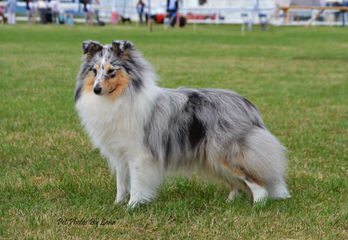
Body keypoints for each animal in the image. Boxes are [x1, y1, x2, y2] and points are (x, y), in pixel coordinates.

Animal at [75, 40, 290, 207]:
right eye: (94, 71)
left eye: (111, 71)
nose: (96, 90)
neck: (118, 98)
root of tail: (248, 105)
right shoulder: (120, 154)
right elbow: (121, 184)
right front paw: (117, 204)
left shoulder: (138, 155)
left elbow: (136, 183)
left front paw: (132, 206)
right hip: (213, 156)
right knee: (236, 183)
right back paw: (229, 202)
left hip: (228, 153)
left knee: (256, 183)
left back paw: (258, 205)